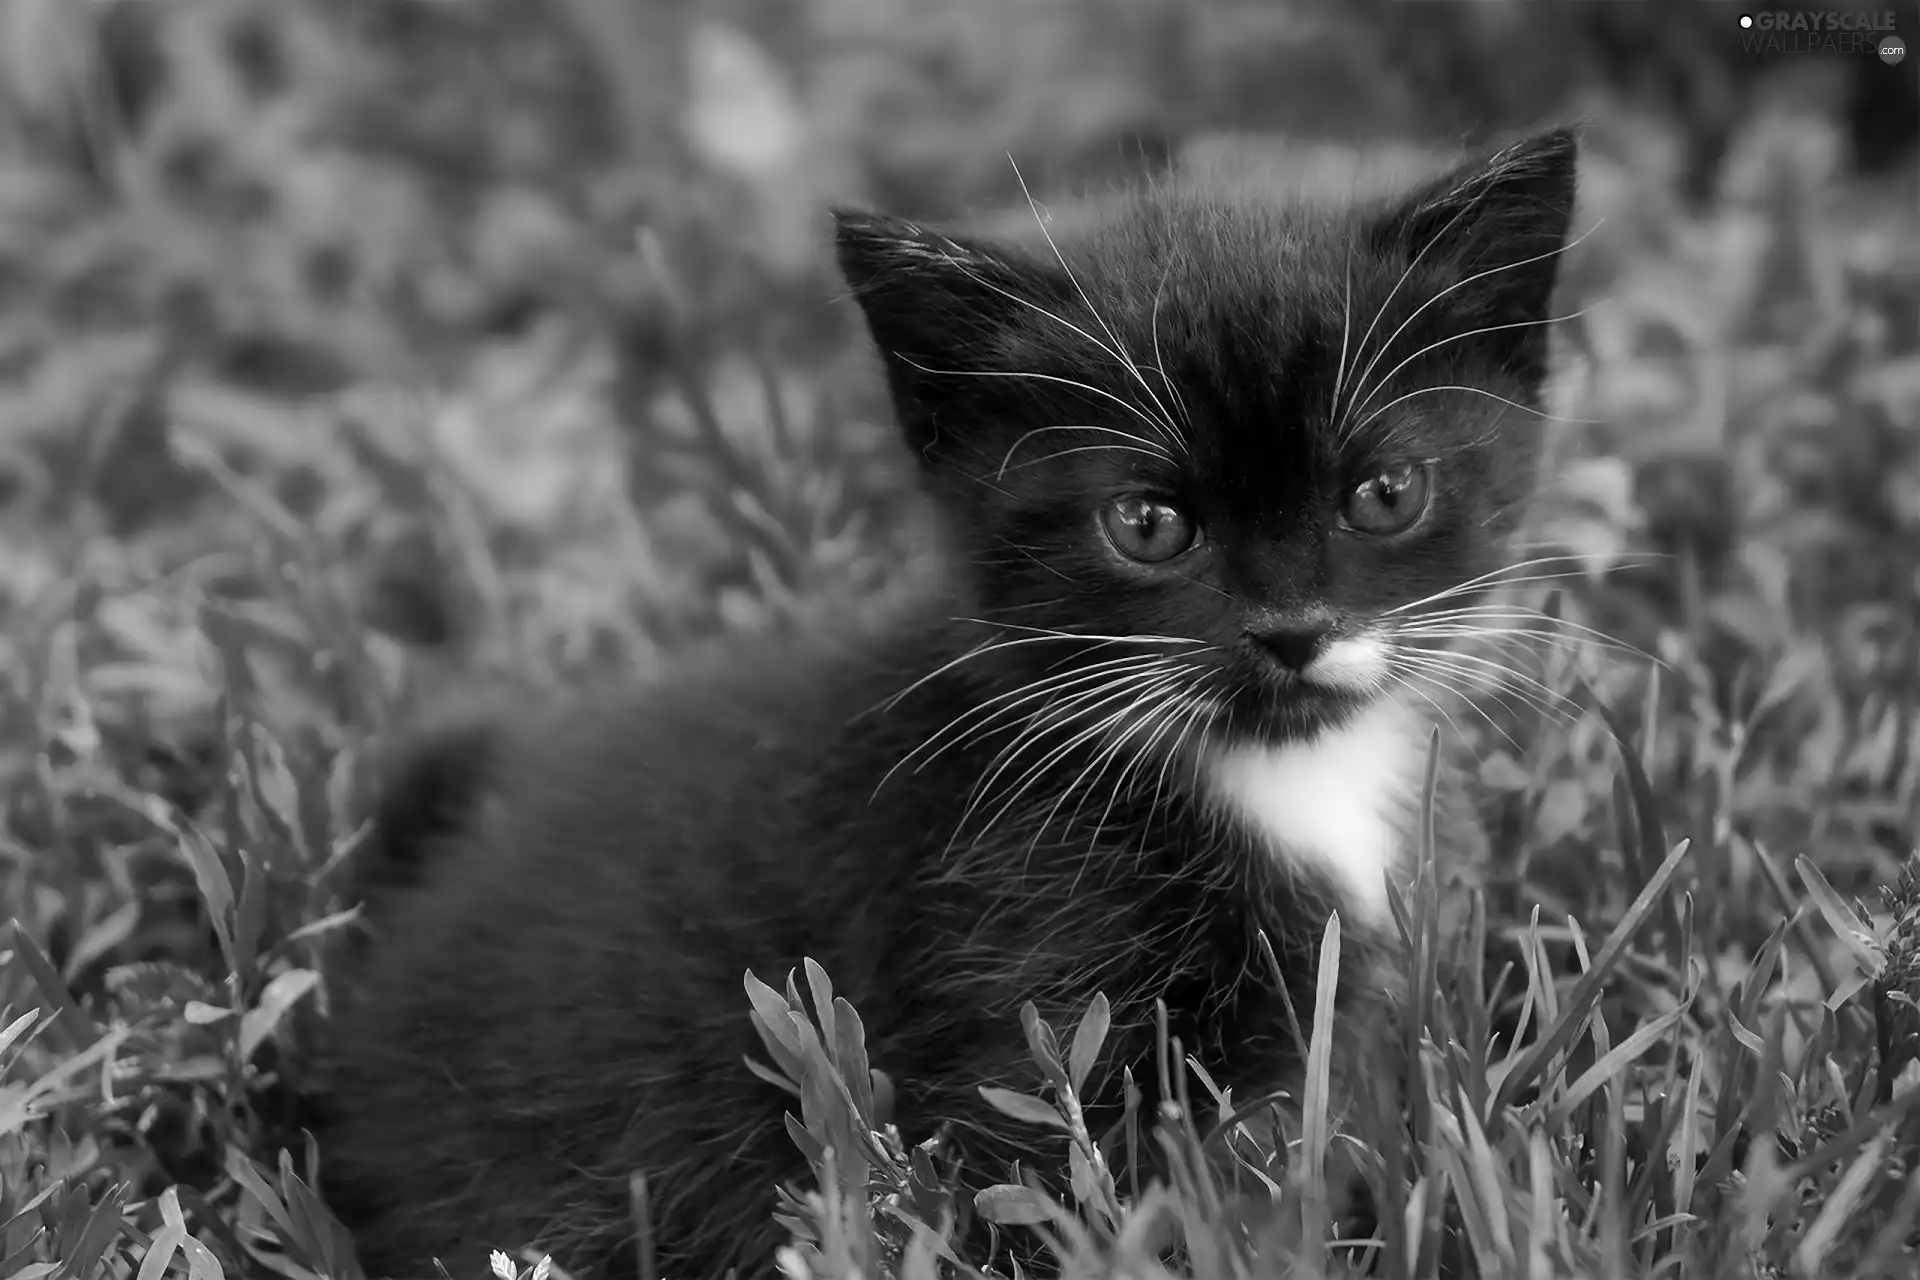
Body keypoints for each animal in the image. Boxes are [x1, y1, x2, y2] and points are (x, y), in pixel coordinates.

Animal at [314, 124, 1574, 1274]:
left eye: (1386, 492)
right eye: (1148, 522)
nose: (1293, 628)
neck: (1265, 767)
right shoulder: (1018, 978)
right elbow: (1053, 1185)